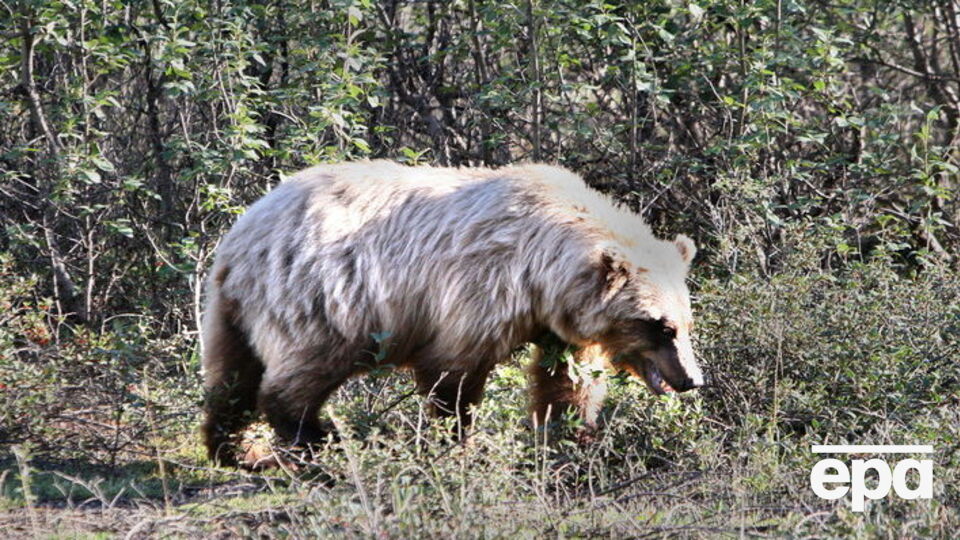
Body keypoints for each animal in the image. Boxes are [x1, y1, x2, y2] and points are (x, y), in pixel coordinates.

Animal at [201, 160, 703, 466]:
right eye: (660, 326)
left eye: (685, 322)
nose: (691, 379)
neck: (542, 271)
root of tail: (241, 236)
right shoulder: (480, 287)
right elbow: (453, 373)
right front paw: (459, 442)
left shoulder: (559, 323)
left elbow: (567, 380)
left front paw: (570, 437)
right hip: (325, 297)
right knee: (300, 372)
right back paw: (315, 442)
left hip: (231, 309)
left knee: (232, 376)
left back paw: (233, 448)